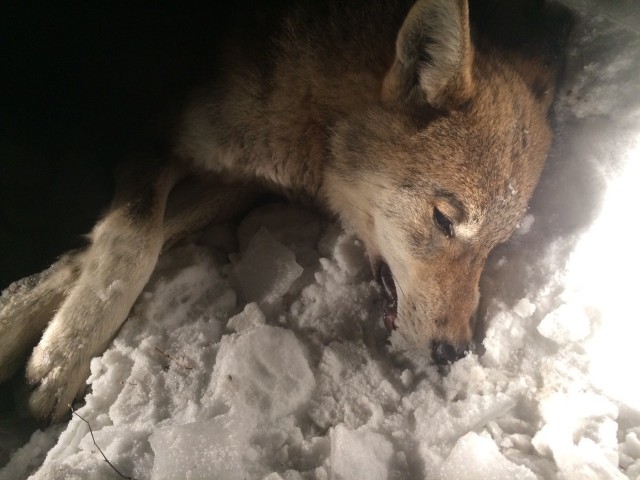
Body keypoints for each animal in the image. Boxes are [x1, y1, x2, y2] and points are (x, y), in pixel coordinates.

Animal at [0, 0, 568, 420]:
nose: (455, 352)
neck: (308, 112)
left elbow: (130, 240)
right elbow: (134, 240)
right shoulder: (159, 138)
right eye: (444, 221)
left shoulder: (237, 185)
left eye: (498, 244)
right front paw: (61, 355)